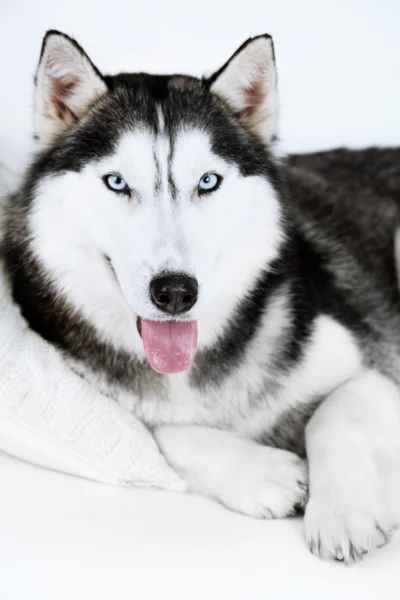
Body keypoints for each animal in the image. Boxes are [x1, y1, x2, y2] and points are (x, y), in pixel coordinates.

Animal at [3, 29, 400, 564]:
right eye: (116, 182)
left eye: (207, 181)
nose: (175, 292)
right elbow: (159, 431)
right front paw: (263, 473)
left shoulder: (376, 365)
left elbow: (332, 413)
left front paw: (341, 513)